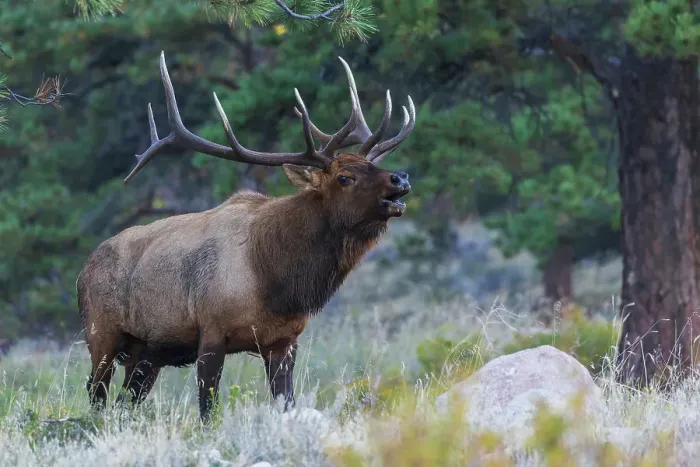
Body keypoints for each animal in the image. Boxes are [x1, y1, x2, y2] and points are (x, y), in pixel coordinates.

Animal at [77, 51, 416, 421]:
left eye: (372, 165)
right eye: (344, 177)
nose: (400, 178)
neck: (276, 281)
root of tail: (83, 270)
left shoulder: (284, 341)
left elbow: (286, 404)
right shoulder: (211, 331)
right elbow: (208, 411)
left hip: (147, 353)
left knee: (126, 402)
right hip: (101, 334)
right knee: (96, 395)